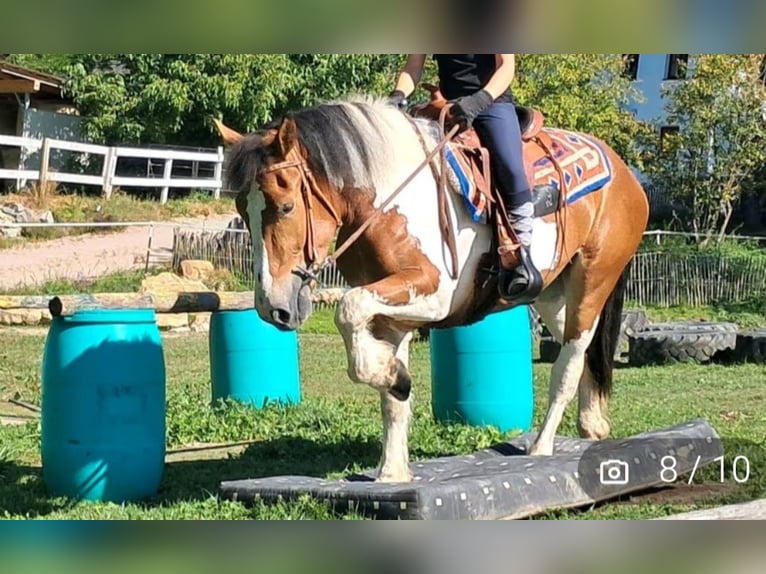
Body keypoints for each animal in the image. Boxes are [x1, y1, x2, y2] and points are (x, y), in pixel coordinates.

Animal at [214, 93, 649, 483]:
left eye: (286, 206)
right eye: (241, 210)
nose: (272, 306)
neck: (389, 197)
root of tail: (622, 171)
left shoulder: (435, 295)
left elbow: (348, 309)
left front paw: (394, 376)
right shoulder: (390, 313)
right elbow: (389, 398)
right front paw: (391, 467)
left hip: (593, 280)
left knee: (569, 363)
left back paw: (542, 446)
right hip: (554, 295)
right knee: (587, 350)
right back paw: (592, 425)